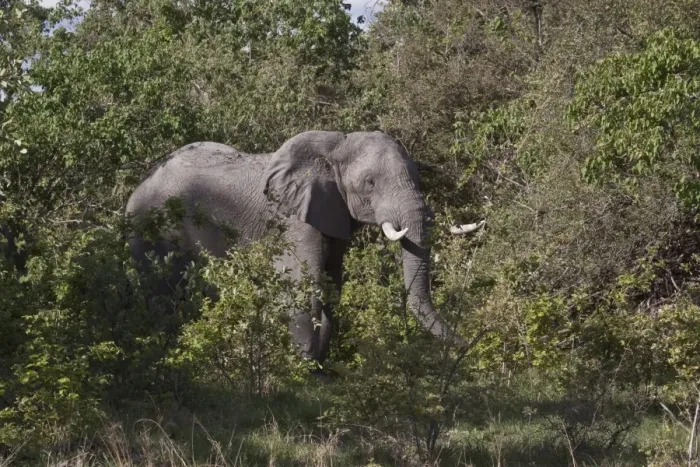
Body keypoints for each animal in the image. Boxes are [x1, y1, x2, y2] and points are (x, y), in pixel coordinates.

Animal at [126, 130, 484, 365]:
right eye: (369, 183)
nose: (469, 345)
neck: (334, 148)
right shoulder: (294, 219)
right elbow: (305, 282)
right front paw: (304, 370)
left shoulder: (333, 215)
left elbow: (332, 284)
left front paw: (322, 368)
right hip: (154, 228)